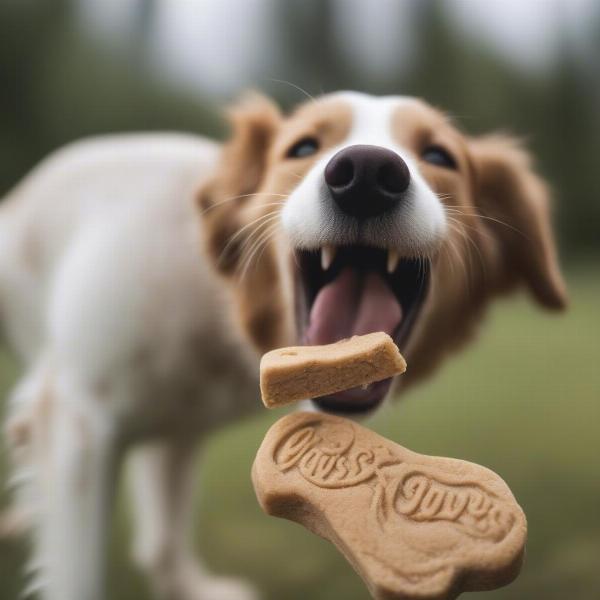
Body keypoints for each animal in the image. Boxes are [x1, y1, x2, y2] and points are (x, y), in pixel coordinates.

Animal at [0, 90, 568, 600]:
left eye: (439, 156)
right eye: (303, 147)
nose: (367, 173)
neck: (218, 309)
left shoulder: (178, 433)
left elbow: (162, 536)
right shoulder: (78, 419)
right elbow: (79, 572)